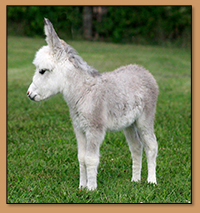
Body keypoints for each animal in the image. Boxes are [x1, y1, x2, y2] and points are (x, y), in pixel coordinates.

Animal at [27, 18, 158, 191]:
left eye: (42, 71)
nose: (29, 94)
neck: (82, 92)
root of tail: (144, 71)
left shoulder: (94, 129)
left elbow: (91, 159)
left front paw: (91, 188)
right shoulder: (79, 129)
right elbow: (81, 157)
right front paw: (82, 186)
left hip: (145, 119)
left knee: (151, 146)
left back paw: (151, 181)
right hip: (129, 123)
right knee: (136, 147)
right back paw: (135, 180)